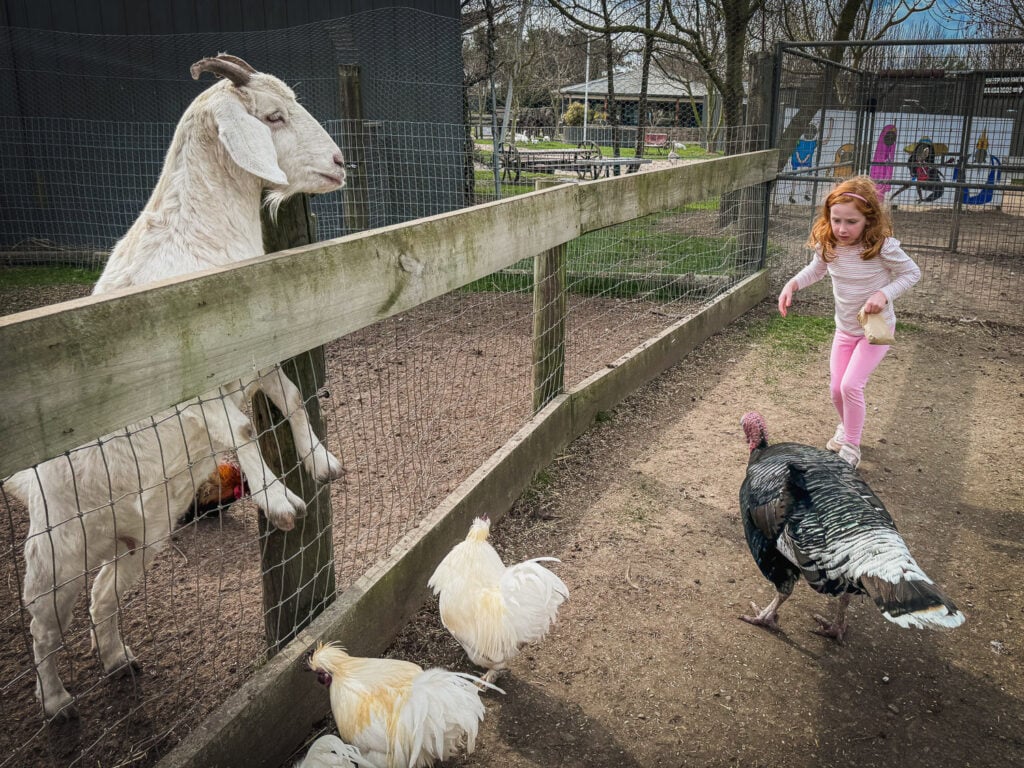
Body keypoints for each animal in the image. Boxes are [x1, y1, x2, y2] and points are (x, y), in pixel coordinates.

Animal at [4, 54, 348, 720]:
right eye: (272, 116)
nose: (339, 161)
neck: (198, 243)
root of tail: (30, 484)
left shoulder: (256, 352)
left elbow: (292, 397)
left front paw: (321, 462)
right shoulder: (189, 381)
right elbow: (238, 428)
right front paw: (280, 502)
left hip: (141, 542)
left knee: (104, 595)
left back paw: (118, 661)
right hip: (54, 553)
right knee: (42, 625)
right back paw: (55, 701)